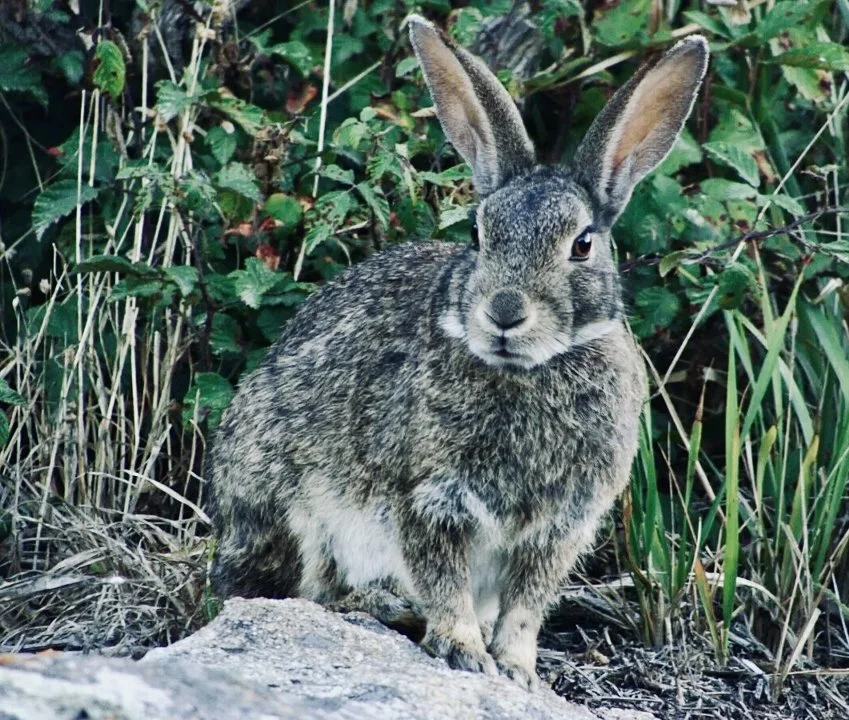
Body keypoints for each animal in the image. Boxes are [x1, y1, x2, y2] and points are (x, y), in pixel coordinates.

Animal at [207, 15, 709, 691]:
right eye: (477, 233)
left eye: (582, 245)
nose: (504, 311)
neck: (527, 369)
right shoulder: (427, 498)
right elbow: (444, 583)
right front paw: (465, 651)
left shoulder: (558, 528)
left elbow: (525, 605)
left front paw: (517, 670)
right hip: (287, 505)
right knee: (302, 591)